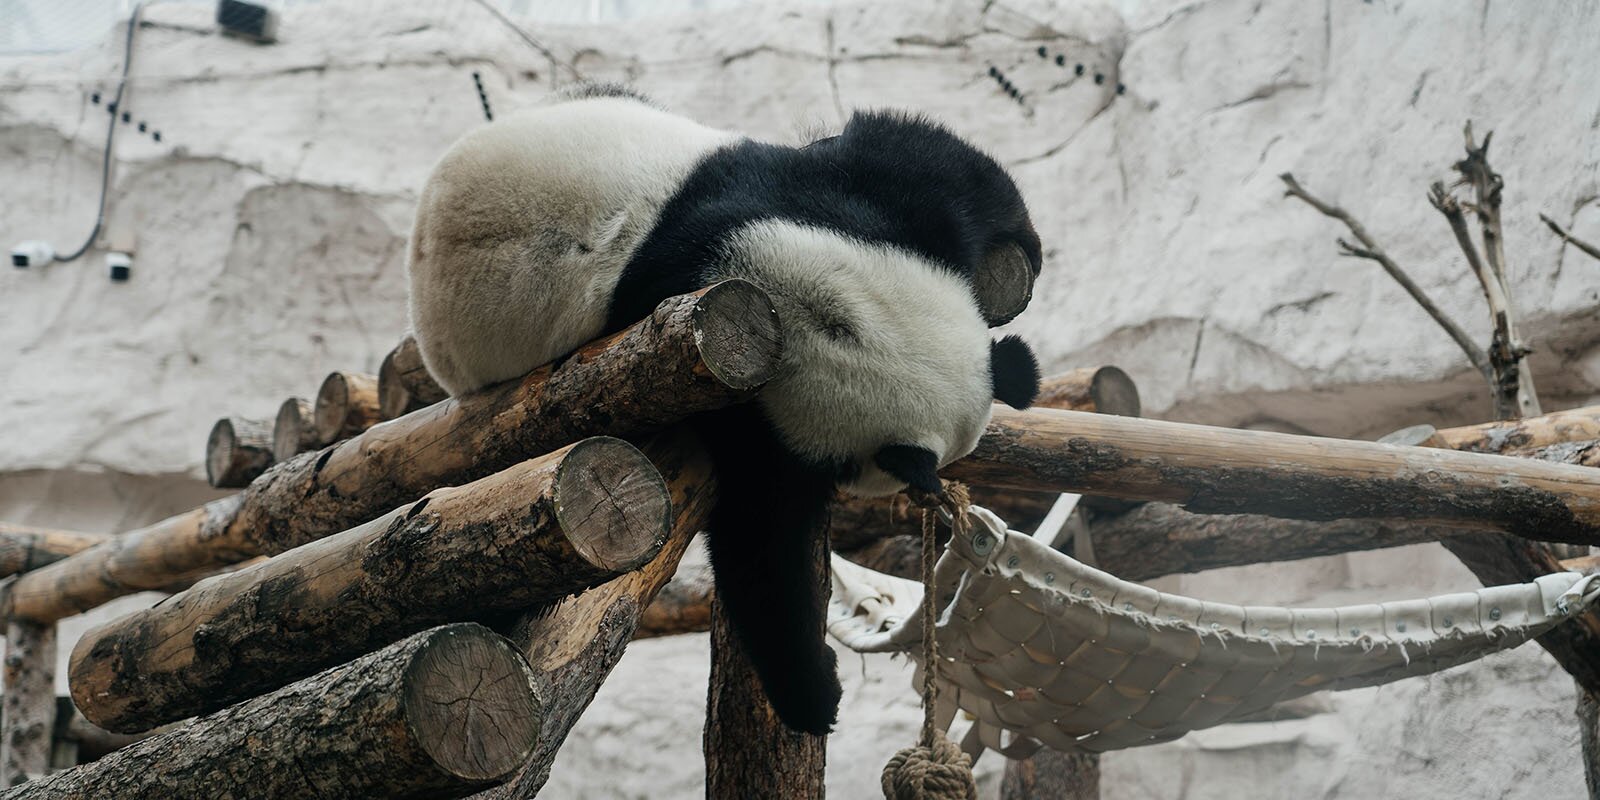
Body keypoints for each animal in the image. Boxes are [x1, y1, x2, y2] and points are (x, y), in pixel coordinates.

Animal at [406, 84, 1043, 732]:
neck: (808, 314)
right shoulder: (736, 401)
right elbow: (760, 548)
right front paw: (816, 695)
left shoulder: (804, 202)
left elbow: (915, 156)